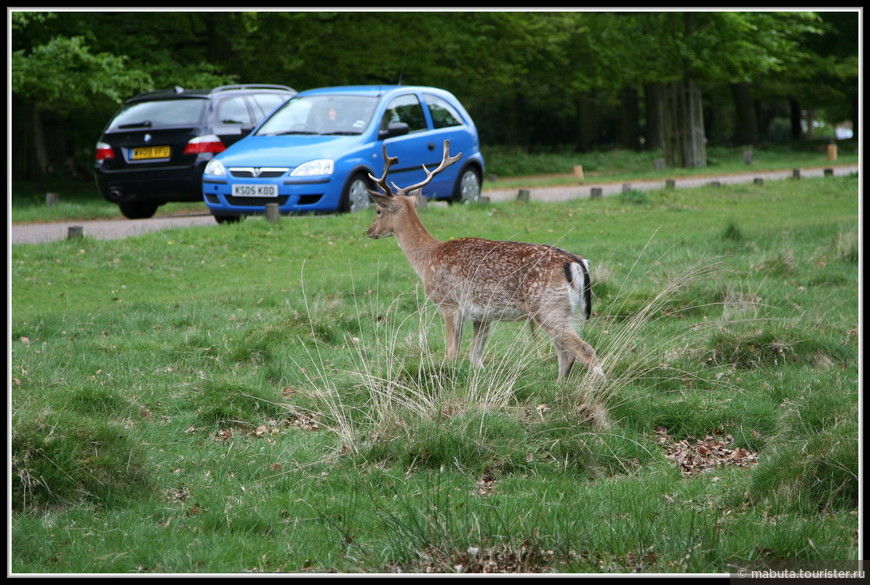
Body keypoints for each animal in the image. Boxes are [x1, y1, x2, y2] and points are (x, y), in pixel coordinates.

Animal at [364, 140, 604, 380]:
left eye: (378, 211)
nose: (369, 231)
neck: (427, 259)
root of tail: (575, 263)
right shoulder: (483, 315)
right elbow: (475, 356)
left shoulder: (450, 304)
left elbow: (452, 353)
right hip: (564, 311)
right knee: (566, 354)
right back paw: (560, 386)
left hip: (548, 307)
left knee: (585, 350)